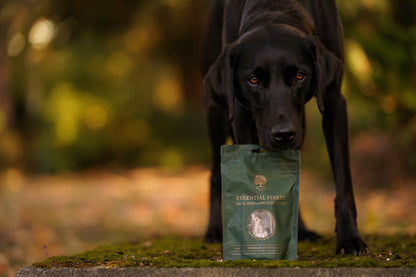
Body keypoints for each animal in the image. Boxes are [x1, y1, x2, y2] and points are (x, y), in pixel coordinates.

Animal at [202, 0, 368, 254]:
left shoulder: (333, 103)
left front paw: (350, 239)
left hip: (301, 125)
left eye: (299, 75)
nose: (283, 135)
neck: (274, 9)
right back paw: (214, 231)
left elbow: (343, 182)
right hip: (217, 111)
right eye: (253, 80)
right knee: (214, 176)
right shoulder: (239, 115)